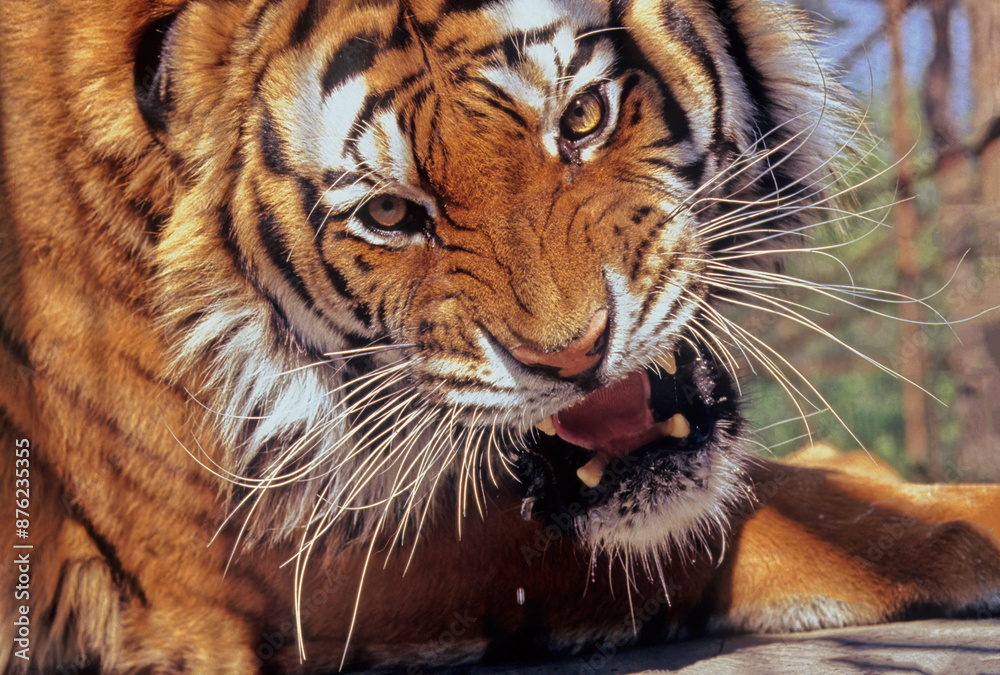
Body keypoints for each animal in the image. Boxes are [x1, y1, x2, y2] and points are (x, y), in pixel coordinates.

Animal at [0, 0, 998, 671]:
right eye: (391, 214)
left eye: (583, 117)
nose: (571, 355)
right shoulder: (262, 560)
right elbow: (746, 522)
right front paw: (965, 524)